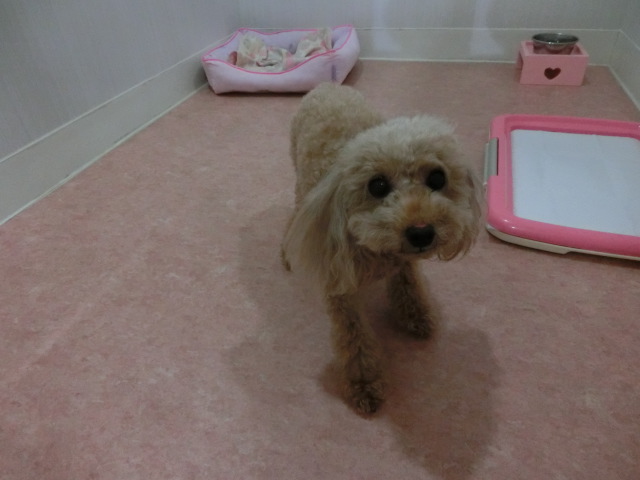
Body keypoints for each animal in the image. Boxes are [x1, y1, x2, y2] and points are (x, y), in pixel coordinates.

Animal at [281, 83, 480, 414]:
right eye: (377, 185)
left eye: (437, 178)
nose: (421, 232)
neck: (378, 253)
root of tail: (327, 85)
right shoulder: (340, 287)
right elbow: (354, 338)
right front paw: (364, 384)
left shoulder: (404, 262)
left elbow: (408, 285)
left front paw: (416, 315)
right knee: (296, 210)